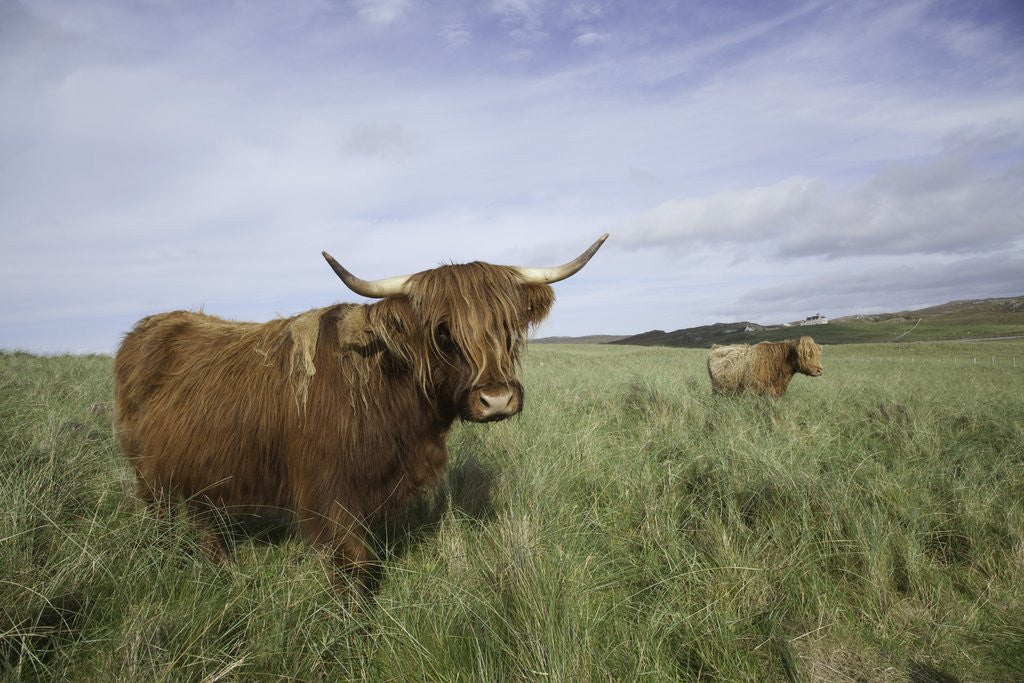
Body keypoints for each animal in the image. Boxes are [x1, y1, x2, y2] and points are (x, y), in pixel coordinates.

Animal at [113, 234, 607, 589]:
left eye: (507, 326)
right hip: (148, 472)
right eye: (443, 332)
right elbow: (355, 562)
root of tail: (146, 326)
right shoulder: (330, 494)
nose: (497, 399)